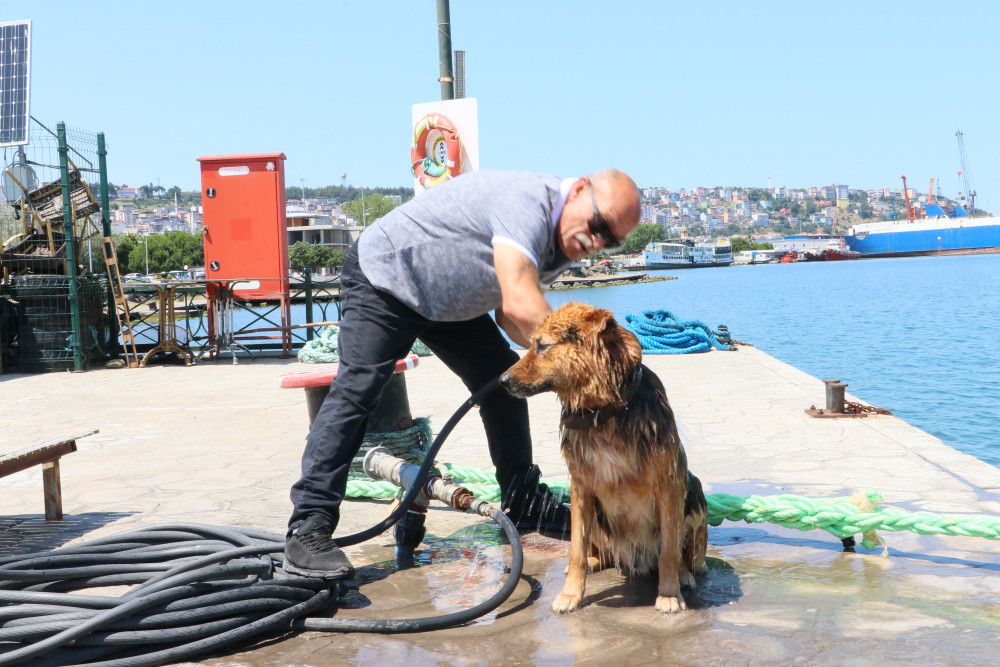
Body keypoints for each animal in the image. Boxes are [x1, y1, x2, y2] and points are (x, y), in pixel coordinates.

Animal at [498, 302, 704, 616]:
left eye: (542, 346)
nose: (502, 381)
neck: (602, 413)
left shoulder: (669, 485)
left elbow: (669, 551)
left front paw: (669, 594)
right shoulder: (581, 488)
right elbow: (576, 551)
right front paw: (571, 594)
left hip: (695, 495)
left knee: (685, 555)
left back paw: (684, 575)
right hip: (596, 518)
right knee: (598, 553)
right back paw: (593, 564)